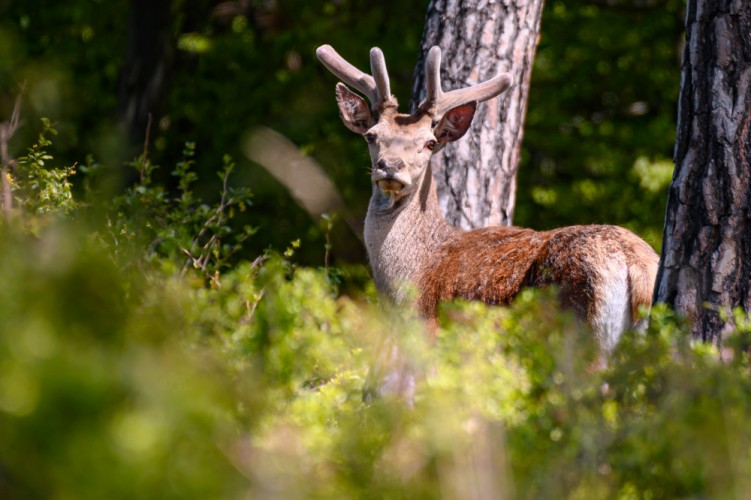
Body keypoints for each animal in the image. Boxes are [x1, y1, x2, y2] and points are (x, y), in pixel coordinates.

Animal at [318, 45, 656, 354]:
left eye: (429, 143)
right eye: (371, 135)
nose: (390, 166)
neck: (412, 274)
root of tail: (637, 266)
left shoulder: (429, 334)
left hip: (580, 327)